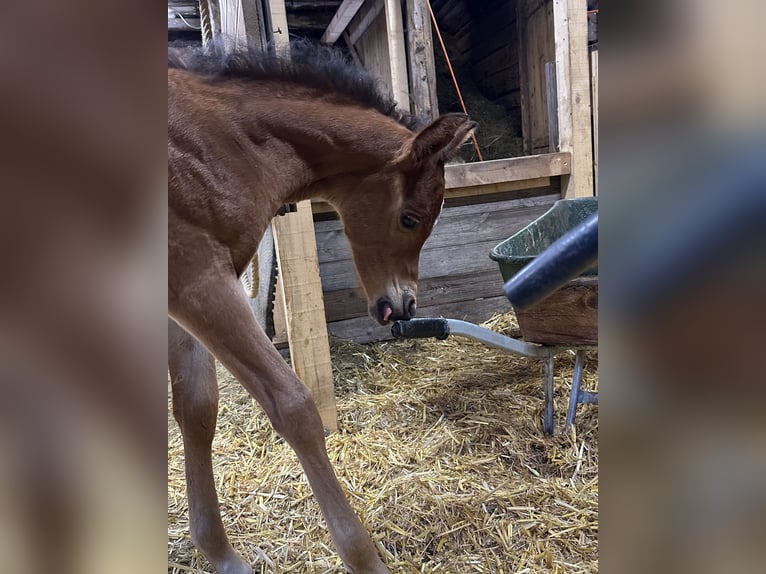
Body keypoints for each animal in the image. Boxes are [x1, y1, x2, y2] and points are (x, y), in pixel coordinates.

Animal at [170, 46, 474, 574]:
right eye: (409, 219)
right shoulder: (197, 275)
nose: (403, 305)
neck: (226, 142)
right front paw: (365, 559)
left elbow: (197, 407)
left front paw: (221, 555)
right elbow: (294, 407)